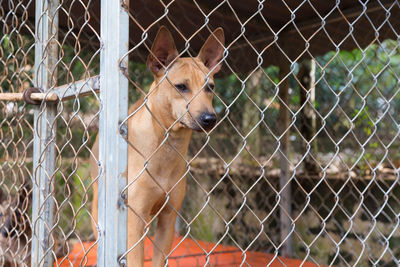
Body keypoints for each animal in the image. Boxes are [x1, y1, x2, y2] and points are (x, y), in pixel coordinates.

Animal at [90, 25, 225, 267]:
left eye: (210, 87)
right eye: (181, 87)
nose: (210, 118)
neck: (167, 147)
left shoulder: (168, 219)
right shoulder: (134, 220)